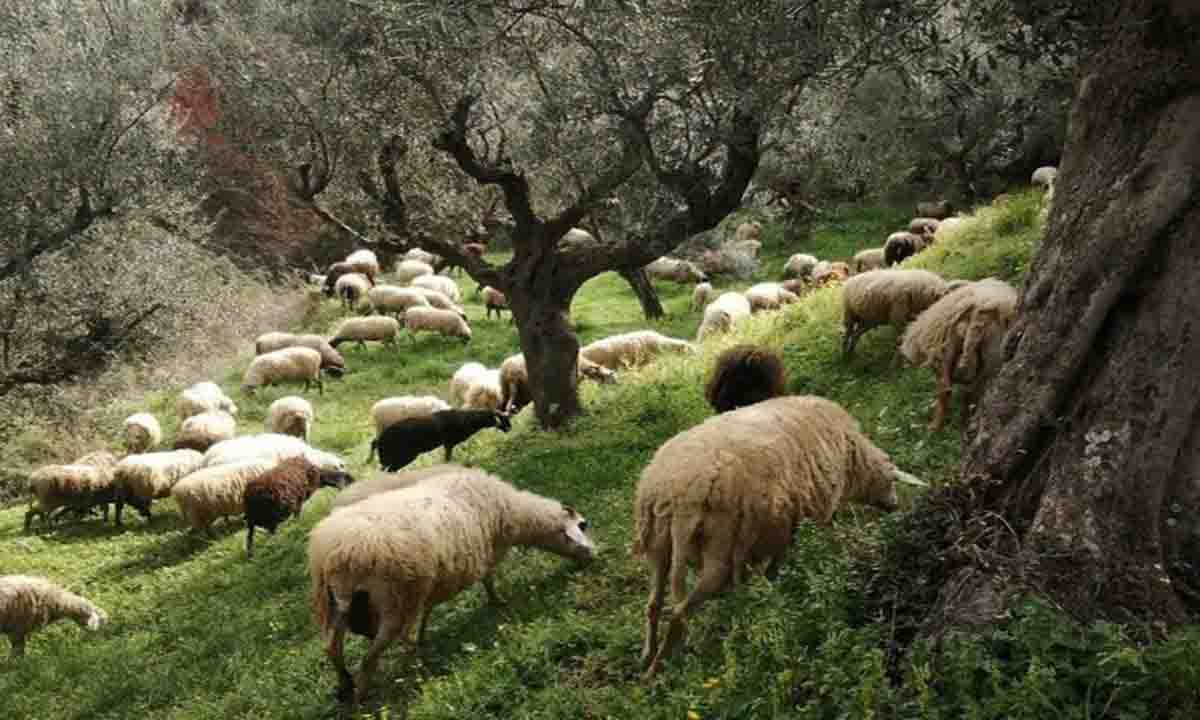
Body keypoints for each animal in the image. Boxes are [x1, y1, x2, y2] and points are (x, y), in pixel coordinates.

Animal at [308, 465, 595, 702]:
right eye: (582, 525)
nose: (593, 556)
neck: (511, 510)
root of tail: (334, 552)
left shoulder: (434, 579)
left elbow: (429, 609)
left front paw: (423, 637)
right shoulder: (485, 554)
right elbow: (488, 580)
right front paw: (497, 602)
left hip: (335, 603)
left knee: (332, 647)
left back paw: (346, 684)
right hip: (395, 599)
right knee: (370, 656)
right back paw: (364, 693)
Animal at [368, 410, 512, 471]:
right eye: (503, 420)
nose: (510, 428)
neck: (467, 420)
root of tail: (379, 440)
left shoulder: (448, 444)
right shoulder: (449, 443)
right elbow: (447, 459)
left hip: (390, 459)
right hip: (400, 457)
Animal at [633, 395, 924, 677]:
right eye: (892, 481)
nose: (895, 506)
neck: (855, 458)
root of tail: (674, 493)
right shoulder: (803, 519)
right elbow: (790, 557)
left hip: (658, 545)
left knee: (653, 604)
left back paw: (647, 656)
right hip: (718, 551)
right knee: (679, 613)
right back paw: (656, 670)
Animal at [900, 278, 1019, 431]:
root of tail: (979, 315)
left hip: (949, 348)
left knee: (949, 389)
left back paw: (937, 425)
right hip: (990, 355)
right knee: (969, 390)